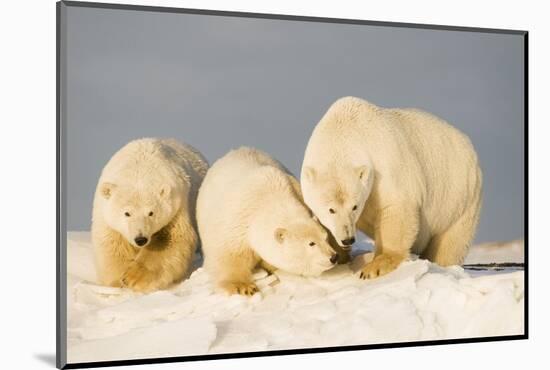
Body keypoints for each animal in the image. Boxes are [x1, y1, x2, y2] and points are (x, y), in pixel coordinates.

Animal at [92, 137, 209, 294]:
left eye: (151, 213)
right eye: (127, 213)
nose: (140, 239)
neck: (140, 169)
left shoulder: (177, 205)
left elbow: (171, 240)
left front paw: (133, 278)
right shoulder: (105, 212)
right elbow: (112, 244)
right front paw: (119, 280)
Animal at [196, 147, 338, 294]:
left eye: (326, 237)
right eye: (311, 243)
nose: (333, 257)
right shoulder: (236, 222)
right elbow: (229, 256)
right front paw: (243, 287)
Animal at [302, 97, 484, 278]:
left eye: (355, 206)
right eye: (331, 209)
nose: (348, 239)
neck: (344, 130)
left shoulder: (385, 164)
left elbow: (397, 208)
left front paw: (375, 267)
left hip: (458, 199)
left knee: (450, 243)